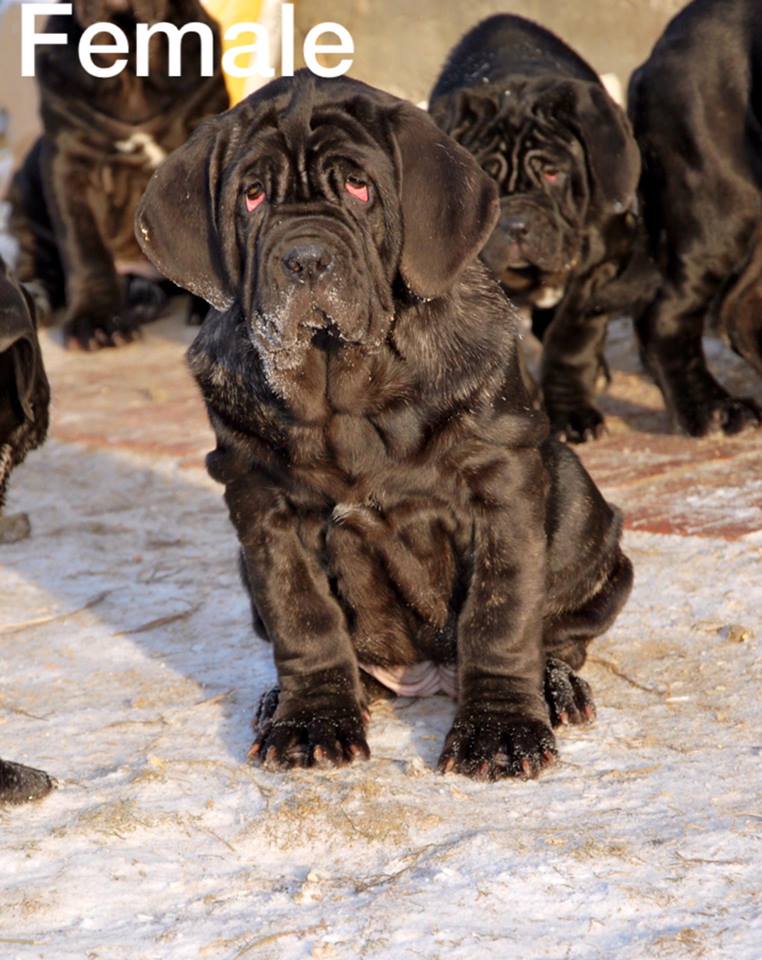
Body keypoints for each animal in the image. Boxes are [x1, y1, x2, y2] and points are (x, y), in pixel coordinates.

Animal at [135, 75, 628, 780]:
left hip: (581, 504)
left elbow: (501, 612)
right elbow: (303, 616)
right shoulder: (261, 503)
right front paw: (311, 720)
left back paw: (555, 687)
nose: (305, 259)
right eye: (252, 195)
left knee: (561, 630)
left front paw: (500, 732)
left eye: (359, 186)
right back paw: (283, 700)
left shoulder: (502, 484)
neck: (346, 397)